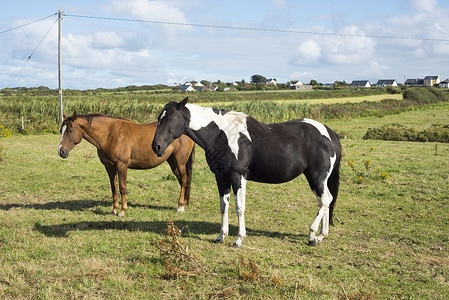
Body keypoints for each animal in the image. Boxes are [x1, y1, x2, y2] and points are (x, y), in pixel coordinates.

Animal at [57, 110, 194, 216]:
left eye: (70, 130)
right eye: (60, 130)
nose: (61, 151)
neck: (110, 134)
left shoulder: (122, 165)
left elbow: (122, 187)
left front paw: (122, 211)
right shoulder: (109, 167)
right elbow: (114, 188)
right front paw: (114, 210)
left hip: (180, 162)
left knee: (184, 179)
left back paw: (180, 207)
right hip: (172, 161)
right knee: (181, 180)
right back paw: (182, 204)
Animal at [152, 97, 342, 247]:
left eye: (171, 117)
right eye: (159, 118)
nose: (156, 147)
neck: (221, 134)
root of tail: (330, 133)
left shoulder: (238, 176)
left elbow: (239, 207)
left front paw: (238, 239)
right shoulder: (221, 177)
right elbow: (224, 206)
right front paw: (221, 236)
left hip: (317, 177)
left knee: (326, 200)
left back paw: (312, 235)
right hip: (315, 178)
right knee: (325, 201)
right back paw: (321, 236)